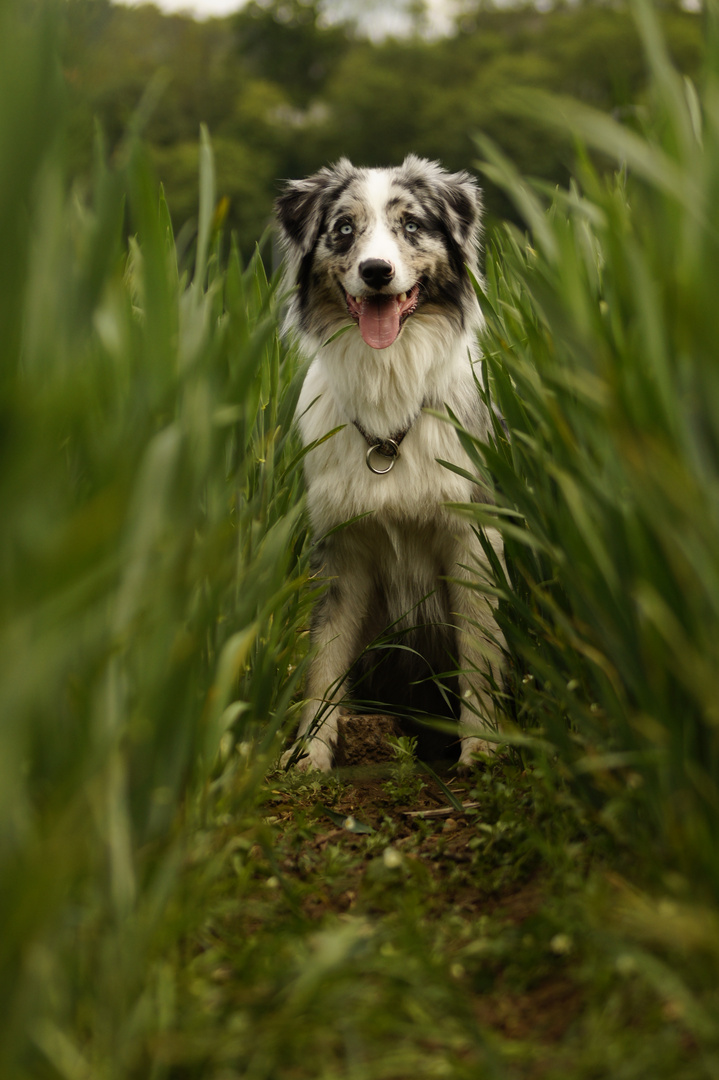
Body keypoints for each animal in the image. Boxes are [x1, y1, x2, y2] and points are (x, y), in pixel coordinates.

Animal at [274, 154, 503, 777]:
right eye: (343, 228)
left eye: (412, 225)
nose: (376, 272)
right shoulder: (343, 549)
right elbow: (323, 662)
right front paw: (309, 758)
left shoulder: (471, 537)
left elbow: (480, 648)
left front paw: (482, 748)